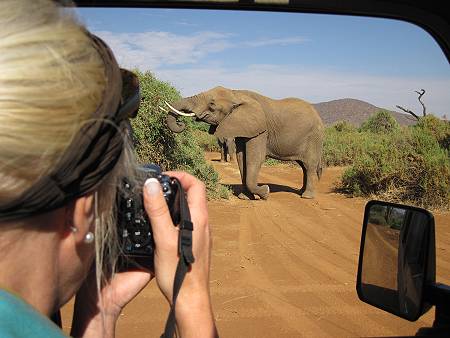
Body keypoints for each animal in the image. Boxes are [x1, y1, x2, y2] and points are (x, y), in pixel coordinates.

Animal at [165, 86, 324, 199]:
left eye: (212, 104)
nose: (180, 123)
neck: (236, 93)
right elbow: (242, 158)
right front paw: (245, 197)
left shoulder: (261, 130)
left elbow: (255, 159)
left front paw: (265, 192)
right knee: (303, 166)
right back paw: (301, 191)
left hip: (313, 138)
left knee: (309, 165)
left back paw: (307, 196)